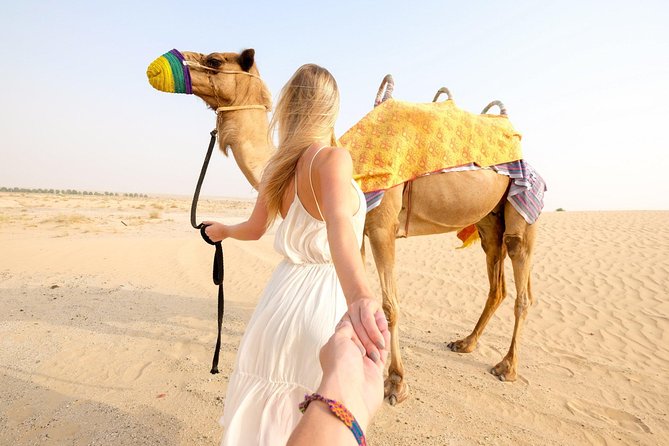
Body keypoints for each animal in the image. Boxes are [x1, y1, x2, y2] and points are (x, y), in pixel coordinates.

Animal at [147, 48, 539, 406]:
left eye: (214, 60)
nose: (157, 67)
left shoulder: (381, 226)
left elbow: (389, 305)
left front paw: (394, 383)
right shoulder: (356, 234)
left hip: (522, 205)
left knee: (521, 285)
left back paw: (506, 366)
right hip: (488, 220)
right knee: (497, 283)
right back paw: (466, 343)